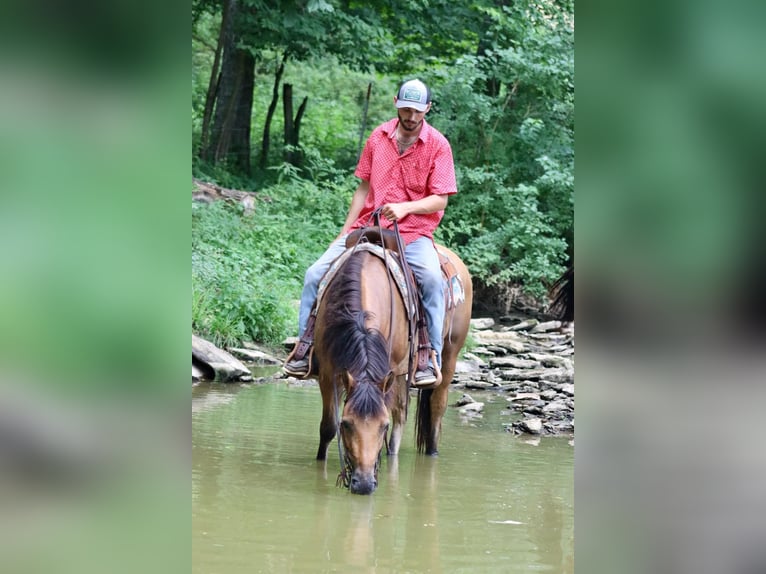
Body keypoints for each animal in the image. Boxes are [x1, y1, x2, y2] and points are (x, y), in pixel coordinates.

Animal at [313, 242, 472, 494]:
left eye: (382, 426)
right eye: (346, 424)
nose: (364, 484)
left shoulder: (386, 371)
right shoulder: (329, 372)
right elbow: (328, 427)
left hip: (448, 357)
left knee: (435, 408)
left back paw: (430, 453)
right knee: (402, 411)